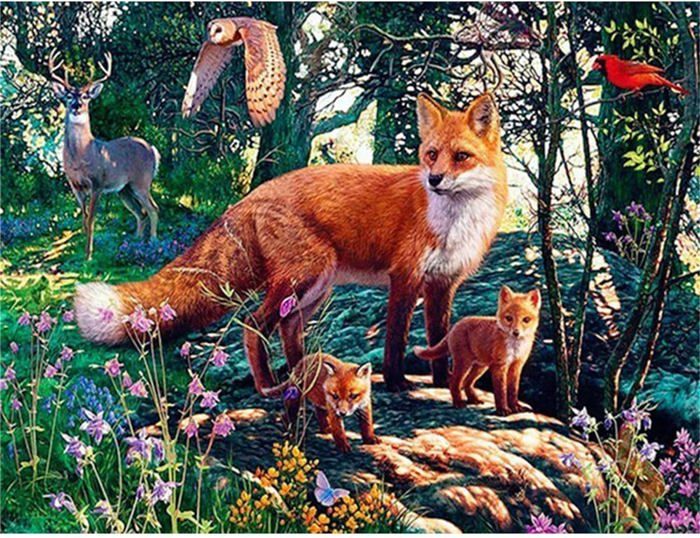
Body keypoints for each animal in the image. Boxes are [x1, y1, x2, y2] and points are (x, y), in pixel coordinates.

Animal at [74, 92, 508, 393]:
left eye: (461, 156)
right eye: (431, 154)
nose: (434, 179)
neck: (453, 221)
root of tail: (253, 195)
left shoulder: (442, 284)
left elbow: (439, 338)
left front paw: (442, 383)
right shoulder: (405, 277)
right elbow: (396, 338)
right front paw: (398, 383)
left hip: (315, 288)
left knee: (287, 328)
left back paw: (304, 378)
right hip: (304, 276)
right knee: (253, 325)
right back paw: (269, 386)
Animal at [414, 286, 541, 415]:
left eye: (526, 319)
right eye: (509, 318)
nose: (516, 333)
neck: (515, 347)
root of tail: (455, 326)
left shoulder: (517, 366)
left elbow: (513, 390)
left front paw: (516, 407)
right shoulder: (499, 366)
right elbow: (500, 391)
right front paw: (502, 410)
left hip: (480, 367)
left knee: (466, 383)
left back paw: (473, 400)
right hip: (464, 363)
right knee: (454, 382)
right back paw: (458, 403)